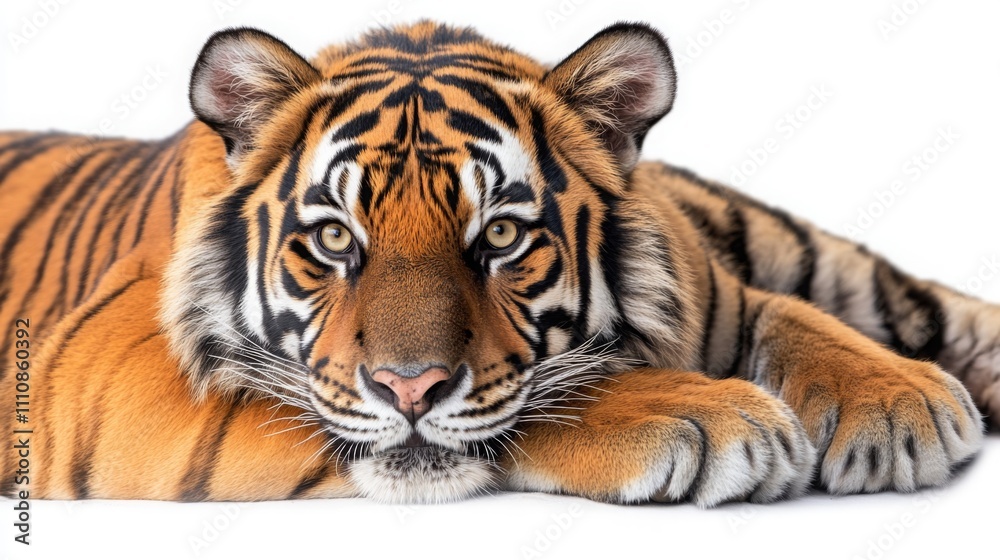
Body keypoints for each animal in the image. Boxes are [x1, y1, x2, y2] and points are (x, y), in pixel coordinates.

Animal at [0, 20, 995, 507]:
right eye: (336, 240)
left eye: (502, 238)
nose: (408, 387)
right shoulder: (106, 372)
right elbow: (531, 404)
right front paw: (705, 414)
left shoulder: (716, 289)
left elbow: (791, 313)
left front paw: (898, 405)